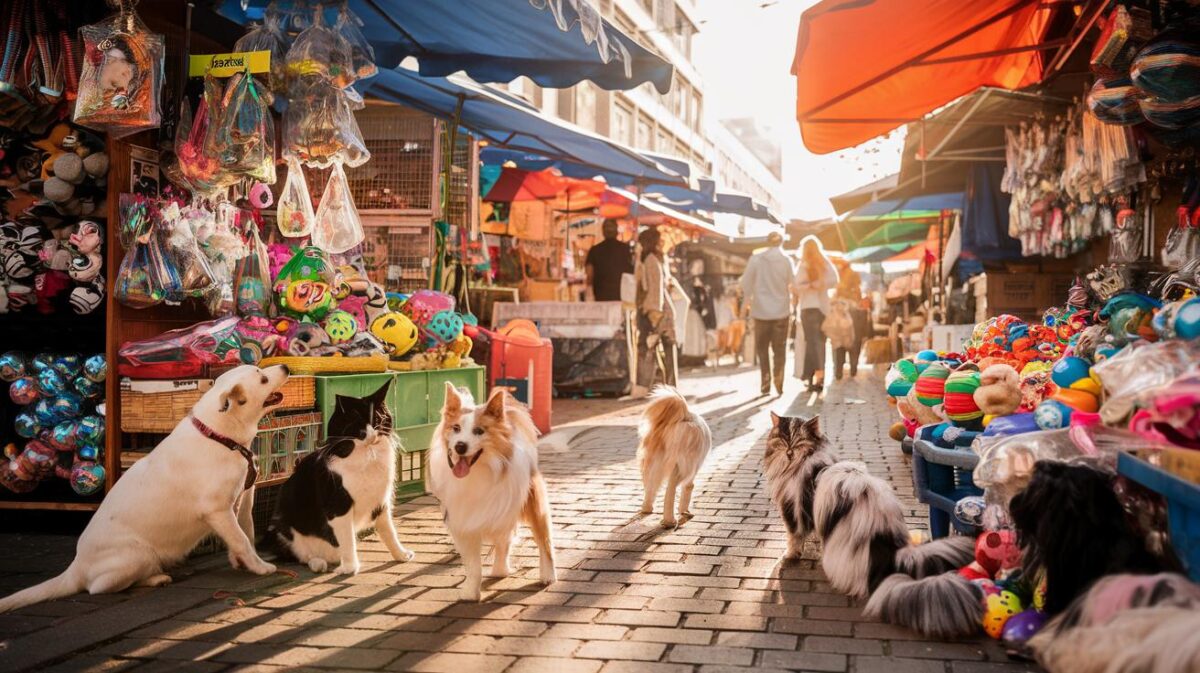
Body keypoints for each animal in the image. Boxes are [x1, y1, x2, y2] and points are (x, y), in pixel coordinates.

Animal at [0, 364, 289, 611]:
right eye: (263, 379)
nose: (286, 367)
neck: (220, 437)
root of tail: (76, 568)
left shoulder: (242, 500)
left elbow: (246, 532)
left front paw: (245, 563)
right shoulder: (217, 510)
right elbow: (241, 539)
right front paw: (260, 567)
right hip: (138, 554)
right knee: (99, 588)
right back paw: (156, 578)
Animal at [265, 379, 415, 571]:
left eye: (378, 420)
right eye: (359, 427)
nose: (372, 436)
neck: (367, 455)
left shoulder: (381, 502)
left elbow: (389, 530)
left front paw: (401, 555)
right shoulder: (338, 505)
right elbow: (348, 539)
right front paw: (350, 568)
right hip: (282, 529)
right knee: (298, 555)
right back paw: (318, 563)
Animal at [429, 386, 554, 599]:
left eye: (479, 431)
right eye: (456, 428)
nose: (460, 446)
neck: (478, 471)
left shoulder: (506, 507)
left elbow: (538, 541)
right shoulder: (464, 522)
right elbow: (473, 564)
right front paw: (471, 592)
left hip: (532, 505)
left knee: (543, 541)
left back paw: (547, 575)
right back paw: (499, 570)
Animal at [638, 388, 710, 525]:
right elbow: (688, 487)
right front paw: (684, 510)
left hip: (654, 463)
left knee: (650, 488)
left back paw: (648, 509)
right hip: (681, 465)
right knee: (671, 490)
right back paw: (670, 520)